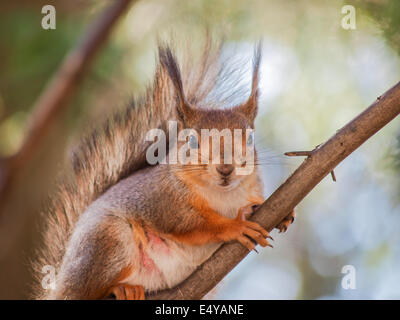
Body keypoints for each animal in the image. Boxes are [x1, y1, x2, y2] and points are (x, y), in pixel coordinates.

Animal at [32, 39, 294, 300]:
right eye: (192, 141)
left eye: (250, 139)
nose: (225, 168)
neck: (223, 194)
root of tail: (59, 283)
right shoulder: (163, 201)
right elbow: (193, 224)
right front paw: (234, 226)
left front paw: (279, 213)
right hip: (108, 239)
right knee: (85, 290)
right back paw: (121, 288)